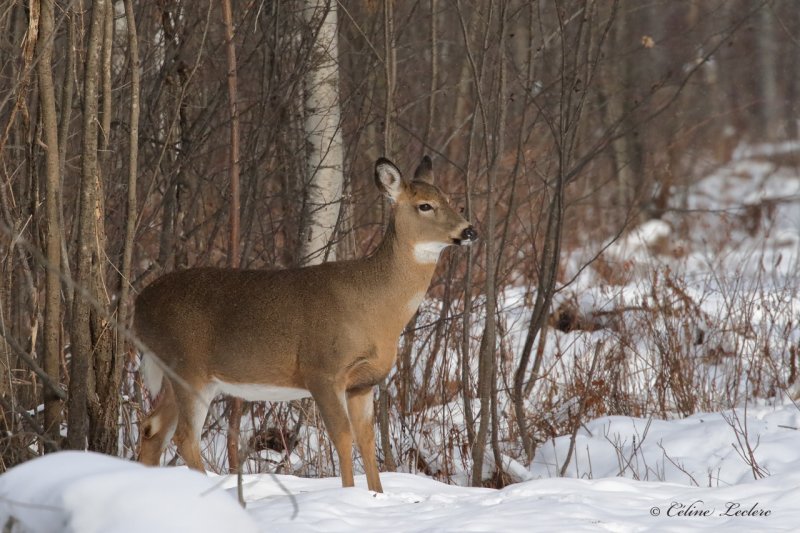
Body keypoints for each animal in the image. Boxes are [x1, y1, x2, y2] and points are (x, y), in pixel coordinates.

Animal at [137, 155, 476, 490]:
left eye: (451, 200)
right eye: (424, 205)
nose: (470, 230)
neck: (377, 308)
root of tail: (138, 304)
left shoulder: (363, 383)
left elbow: (367, 440)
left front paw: (377, 496)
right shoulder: (322, 370)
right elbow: (343, 437)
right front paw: (349, 495)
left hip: (179, 374)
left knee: (152, 427)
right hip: (189, 369)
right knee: (184, 436)